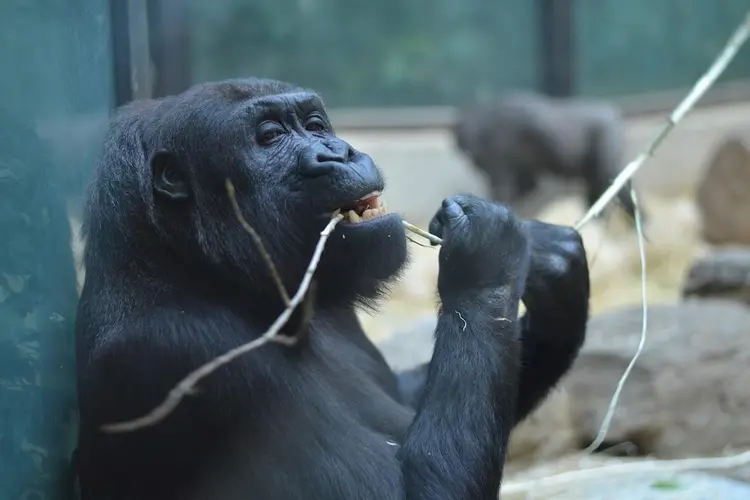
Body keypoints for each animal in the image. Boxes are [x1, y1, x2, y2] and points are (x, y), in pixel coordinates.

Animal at [75, 78, 592, 500]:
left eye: (315, 124)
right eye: (270, 136)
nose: (339, 152)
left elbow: (410, 399)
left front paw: (559, 283)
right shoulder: (179, 350)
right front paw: (487, 255)